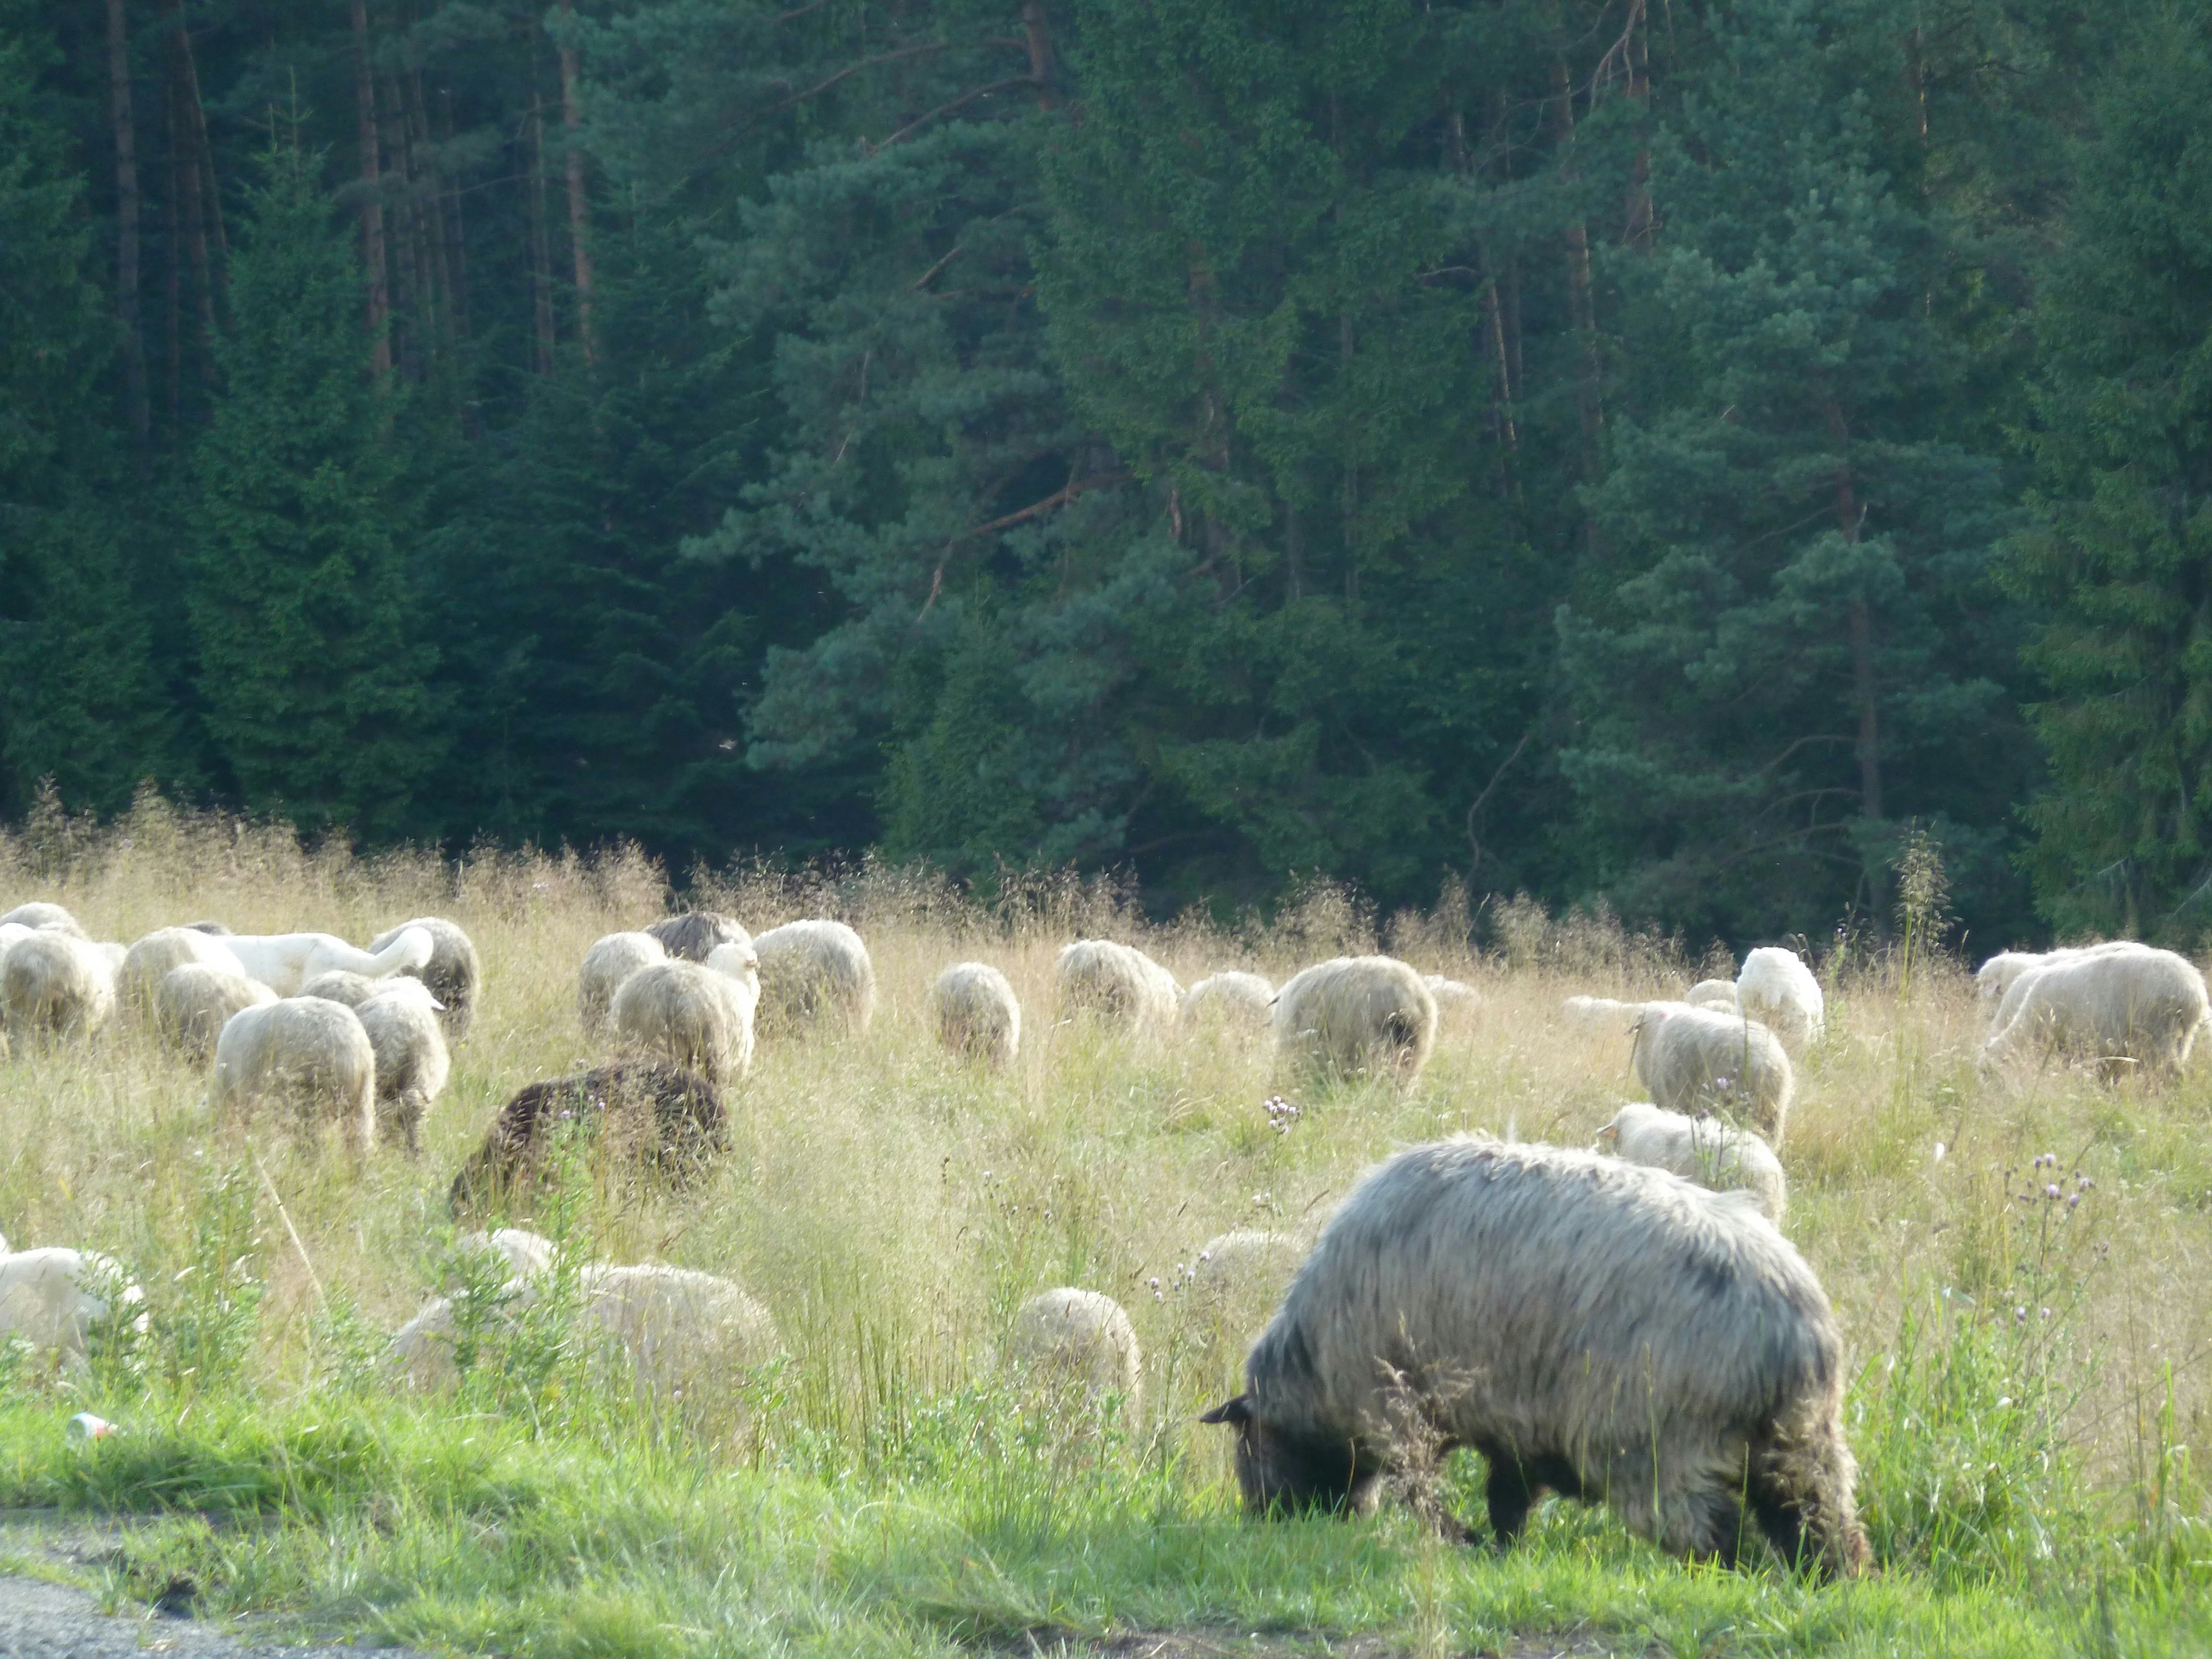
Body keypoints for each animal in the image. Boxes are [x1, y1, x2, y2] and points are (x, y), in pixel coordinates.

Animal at [1199, 1136, 1867, 1577]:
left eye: (1248, 1447)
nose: (1266, 1523)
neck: (1314, 1369)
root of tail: (1791, 1329)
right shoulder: (1512, 1425)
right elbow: (1507, 1498)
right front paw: (1498, 1551)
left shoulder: (1394, 1405)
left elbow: (1424, 1492)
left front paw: (1462, 1541)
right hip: (1802, 1439)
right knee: (1820, 1521)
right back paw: (1832, 1580)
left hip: (1657, 1439)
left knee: (1710, 1531)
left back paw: (1724, 1578)